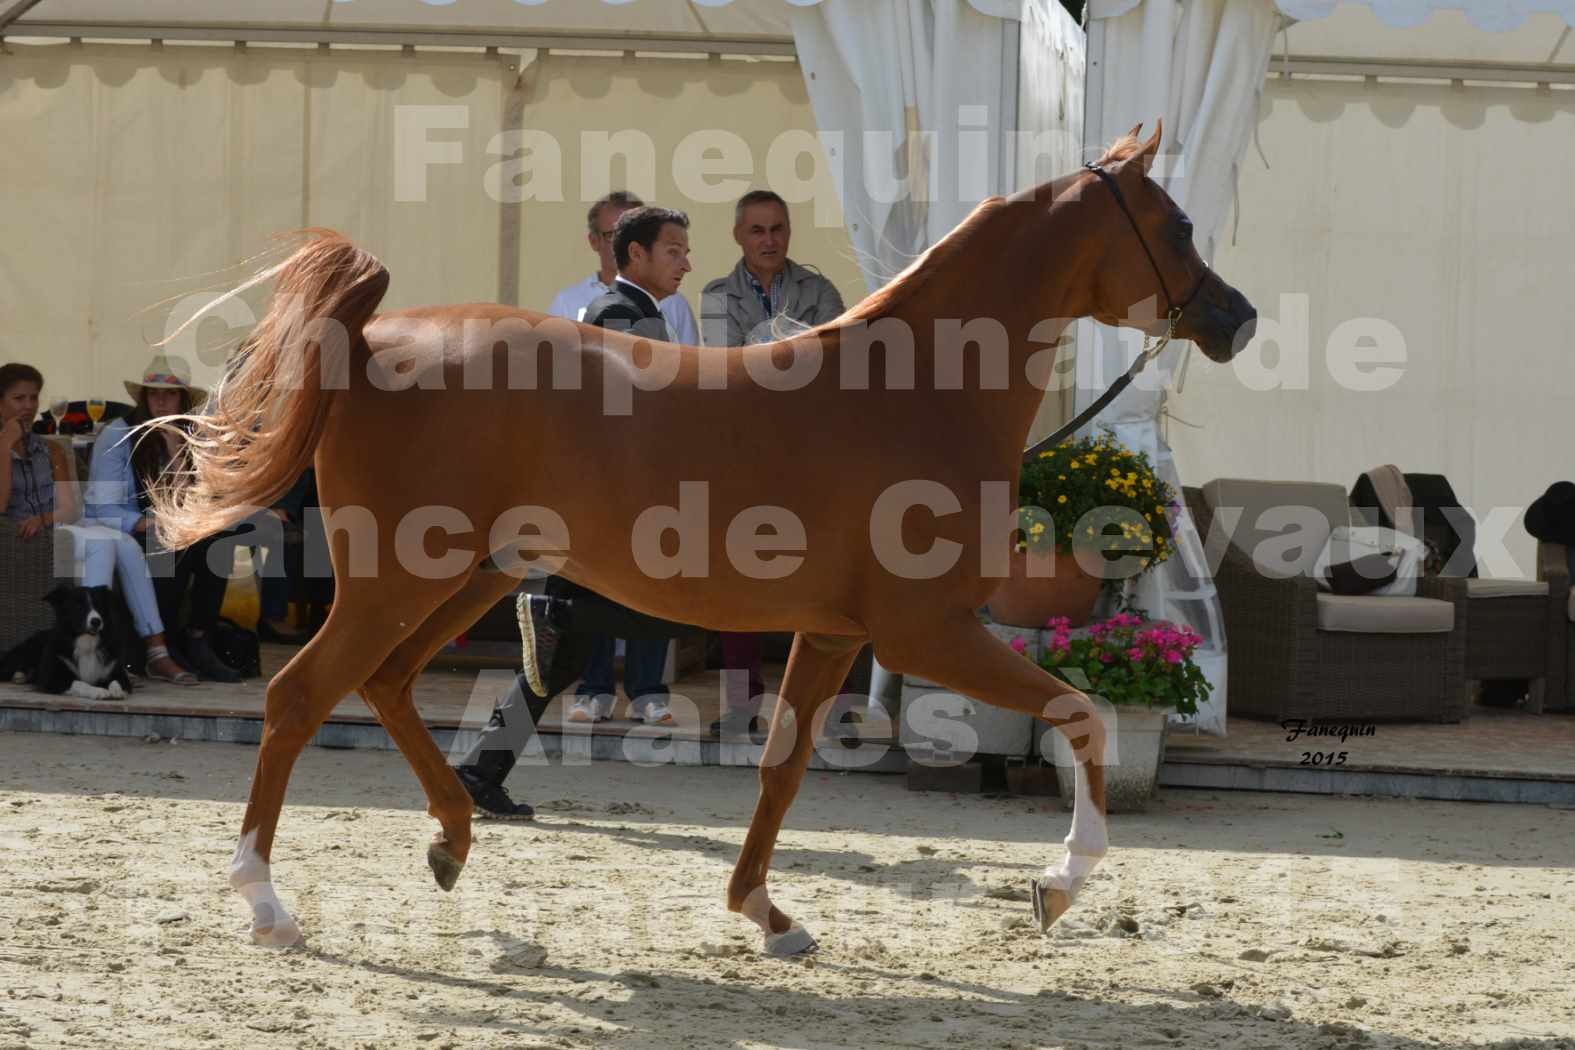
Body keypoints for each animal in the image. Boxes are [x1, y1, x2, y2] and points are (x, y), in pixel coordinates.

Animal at [150, 123, 1253, 950]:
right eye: (1178, 223)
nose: (1236, 319)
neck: (912, 389)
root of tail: (370, 341)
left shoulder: (835, 633)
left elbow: (782, 765)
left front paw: (767, 915)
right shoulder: (926, 632)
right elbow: (1081, 714)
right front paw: (1058, 885)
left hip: (463, 579)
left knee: (382, 685)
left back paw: (451, 843)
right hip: (397, 579)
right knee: (300, 697)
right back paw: (268, 907)